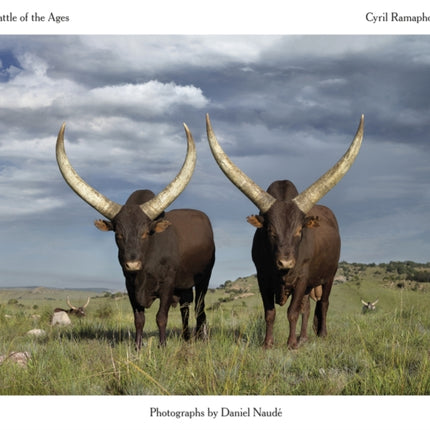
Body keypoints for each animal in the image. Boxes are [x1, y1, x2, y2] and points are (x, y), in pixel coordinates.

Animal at [56, 122, 215, 350]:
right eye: (119, 234)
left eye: (145, 233)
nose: (132, 264)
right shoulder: (130, 286)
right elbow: (139, 319)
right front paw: (138, 347)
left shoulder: (167, 284)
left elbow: (161, 317)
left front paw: (162, 346)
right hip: (184, 286)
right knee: (185, 307)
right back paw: (186, 337)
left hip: (203, 278)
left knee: (199, 309)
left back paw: (200, 337)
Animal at [207, 114, 364, 350]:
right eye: (270, 230)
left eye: (299, 230)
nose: (285, 262)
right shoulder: (263, 277)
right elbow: (270, 313)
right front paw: (268, 343)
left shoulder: (302, 277)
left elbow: (292, 312)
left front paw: (291, 344)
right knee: (307, 308)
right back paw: (304, 337)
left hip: (329, 275)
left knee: (323, 303)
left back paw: (320, 334)